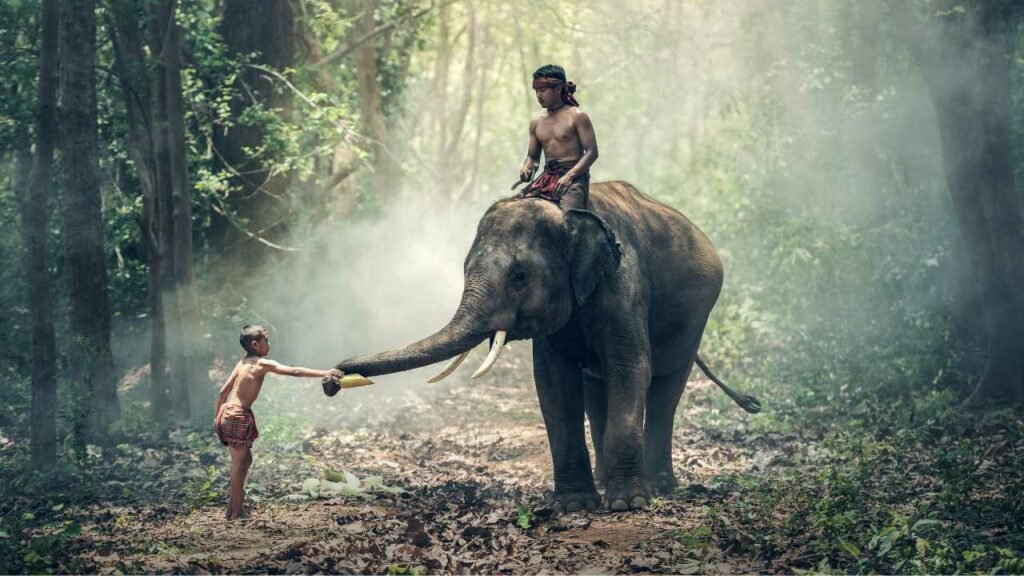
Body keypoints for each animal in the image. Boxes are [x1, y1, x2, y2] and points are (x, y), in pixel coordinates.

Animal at [325, 181, 760, 512]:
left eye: (519, 276)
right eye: (464, 270)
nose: (332, 379)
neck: (569, 216)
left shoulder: (623, 285)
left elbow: (632, 367)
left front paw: (627, 505)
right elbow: (553, 382)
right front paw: (576, 505)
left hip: (697, 317)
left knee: (666, 388)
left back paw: (660, 486)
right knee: (597, 390)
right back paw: (608, 481)